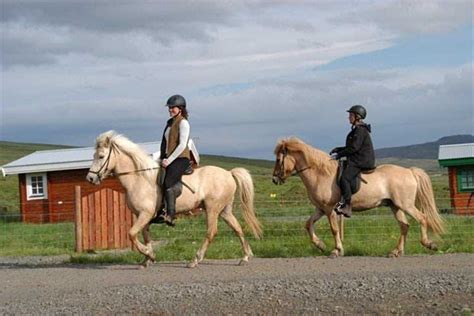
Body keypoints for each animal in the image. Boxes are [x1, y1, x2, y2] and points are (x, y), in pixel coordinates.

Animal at [86, 130, 262, 266]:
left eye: (101, 156)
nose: (90, 178)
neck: (139, 179)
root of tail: (229, 173)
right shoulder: (142, 216)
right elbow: (145, 236)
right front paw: (148, 258)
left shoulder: (145, 214)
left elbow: (132, 234)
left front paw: (148, 254)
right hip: (224, 210)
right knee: (237, 228)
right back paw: (245, 257)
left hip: (212, 209)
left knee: (211, 232)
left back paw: (195, 260)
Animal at [274, 137, 444, 258]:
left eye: (278, 159)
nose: (275, 179)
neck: (320, 174)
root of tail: (409, 171)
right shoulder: (321, 209)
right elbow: (308, 224)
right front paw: (320, 245)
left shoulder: (329, 209)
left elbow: (334, 229)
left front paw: (337, 250)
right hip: (395, 206)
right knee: (404, 226)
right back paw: (396, 251)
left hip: (405, 204)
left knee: (422, 218)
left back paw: (428, 244)